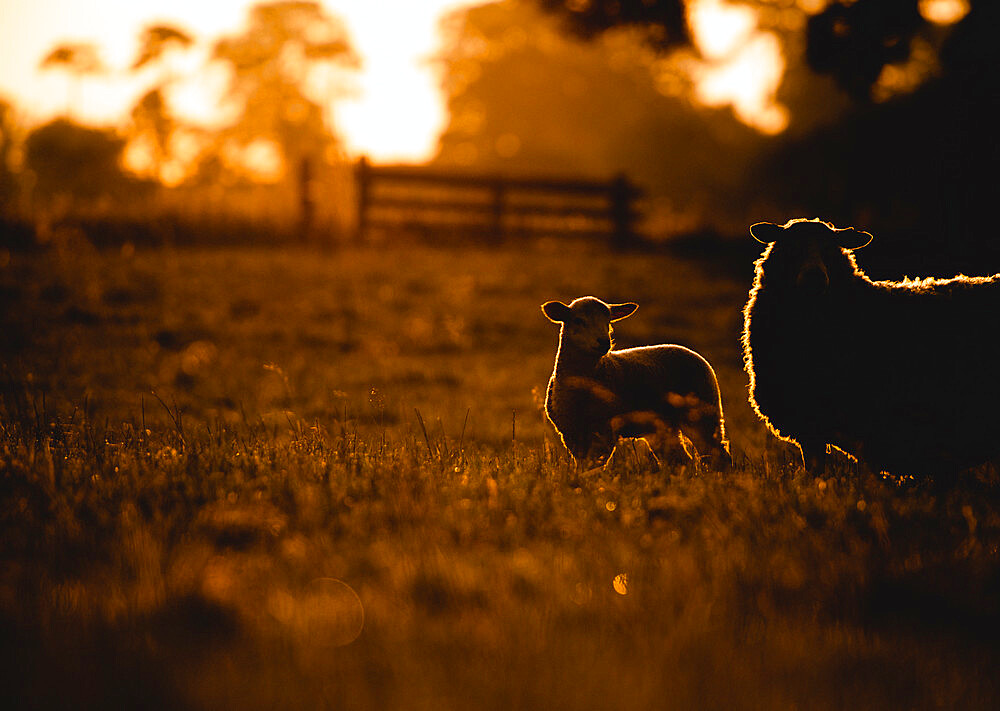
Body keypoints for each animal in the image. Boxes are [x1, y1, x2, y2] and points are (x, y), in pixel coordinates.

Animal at [544, 296, 732, 472]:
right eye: (578, 320)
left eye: (608, 322)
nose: (604, 342)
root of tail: (692, 352)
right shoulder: (570, 432)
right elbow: (583, 465)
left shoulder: (605, 431)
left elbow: (595, 465)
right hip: (664, 427)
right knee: (681, 459)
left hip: (703, 413)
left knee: (717, 456)